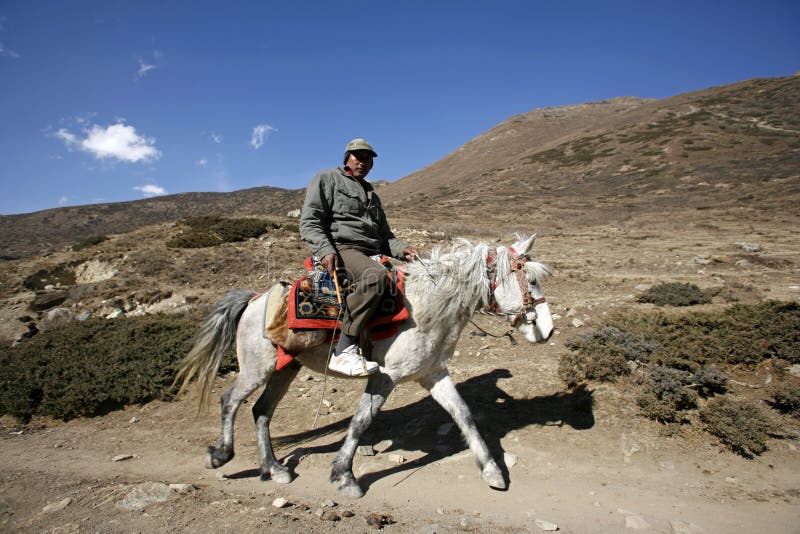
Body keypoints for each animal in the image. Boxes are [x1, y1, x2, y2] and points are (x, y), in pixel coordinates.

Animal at [174, 233, 552, 498]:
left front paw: (492, 471)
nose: (547, 331)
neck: (428, 306)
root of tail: (253, 299)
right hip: (257, 368)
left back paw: (275, 468)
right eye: (531, 280)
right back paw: (220, 455)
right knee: (231, 400)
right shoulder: (386, 376)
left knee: (262, 412)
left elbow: (463, 414)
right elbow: (361, 422)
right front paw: (344, 476)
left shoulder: (433, 374)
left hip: (285, 369)